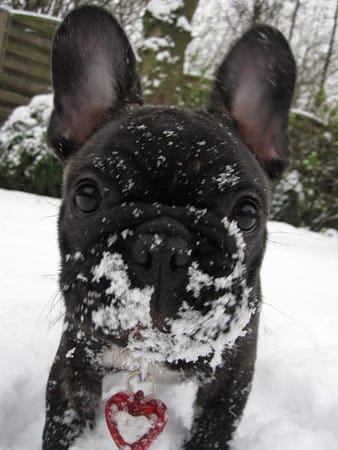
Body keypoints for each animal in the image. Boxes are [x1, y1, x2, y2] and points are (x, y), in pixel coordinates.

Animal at [43, 5, 296, 448]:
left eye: (247, 215)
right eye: (87, 195)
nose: (163, 246)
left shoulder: (230, 378)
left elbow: (212, 428)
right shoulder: (74, 363)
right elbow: (64, 421)